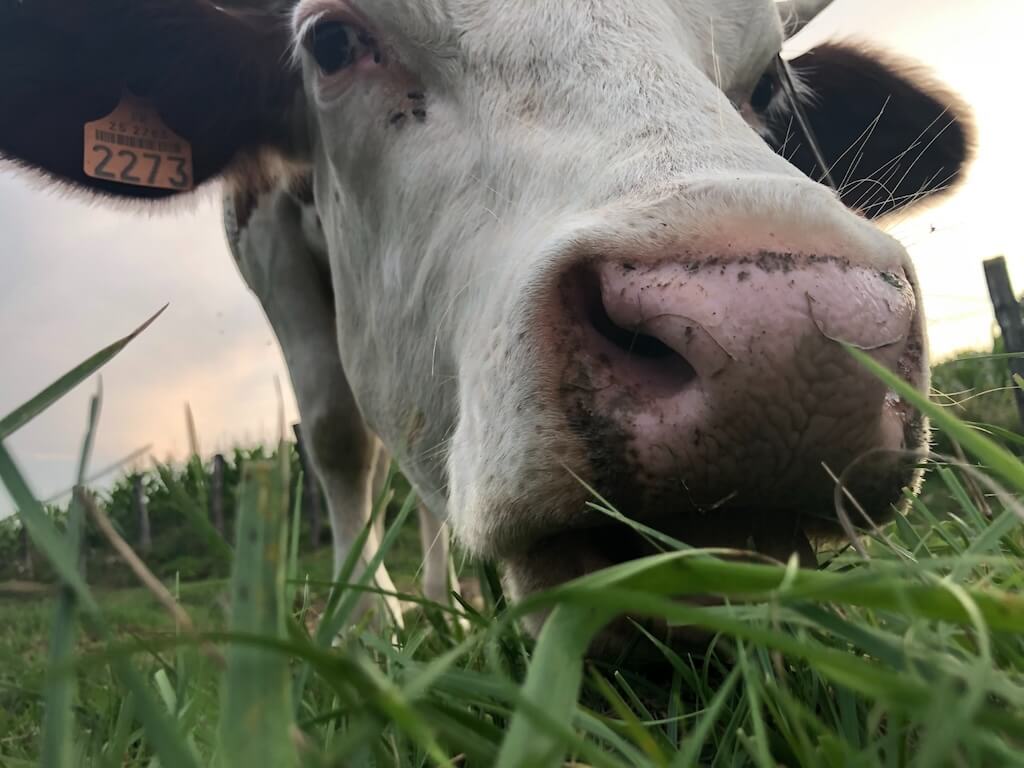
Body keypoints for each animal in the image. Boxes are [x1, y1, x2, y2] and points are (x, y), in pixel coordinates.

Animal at [0, 0, 970, 651]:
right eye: (331, 41)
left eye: (768, 83)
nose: (782, 345)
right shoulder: (262, 234)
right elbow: (337, 435)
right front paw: (368, 628)